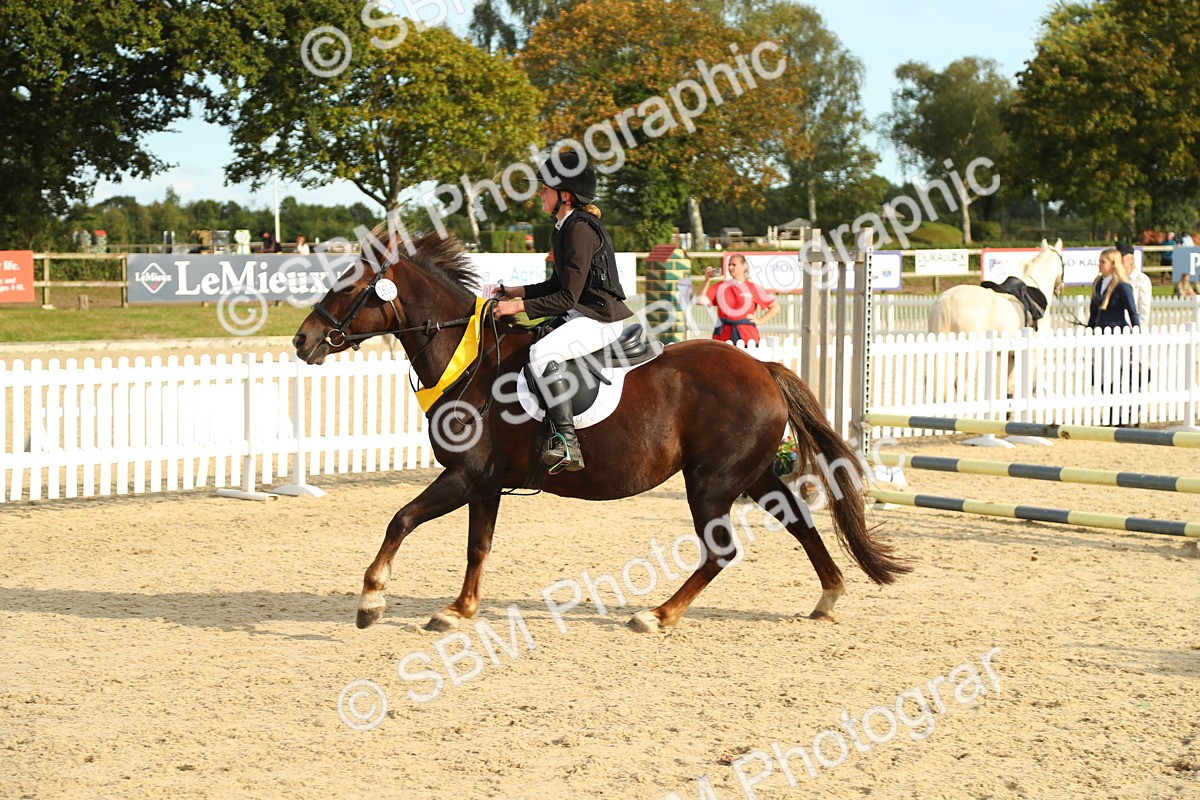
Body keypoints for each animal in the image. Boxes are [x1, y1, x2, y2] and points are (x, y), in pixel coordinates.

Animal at [291, 226, 910, 633]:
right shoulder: (484, 484)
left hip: (711, 482)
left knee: (720, 550)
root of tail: (763, 368)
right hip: (751, 475)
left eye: (348, 286)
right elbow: (477, 547)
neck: (468, 360)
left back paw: (658, 614)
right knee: (801, 522)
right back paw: (828, 596)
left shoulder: (464, 476)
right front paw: (458, 610)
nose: (302, 340)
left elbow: (401, 520)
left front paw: (371, 600)